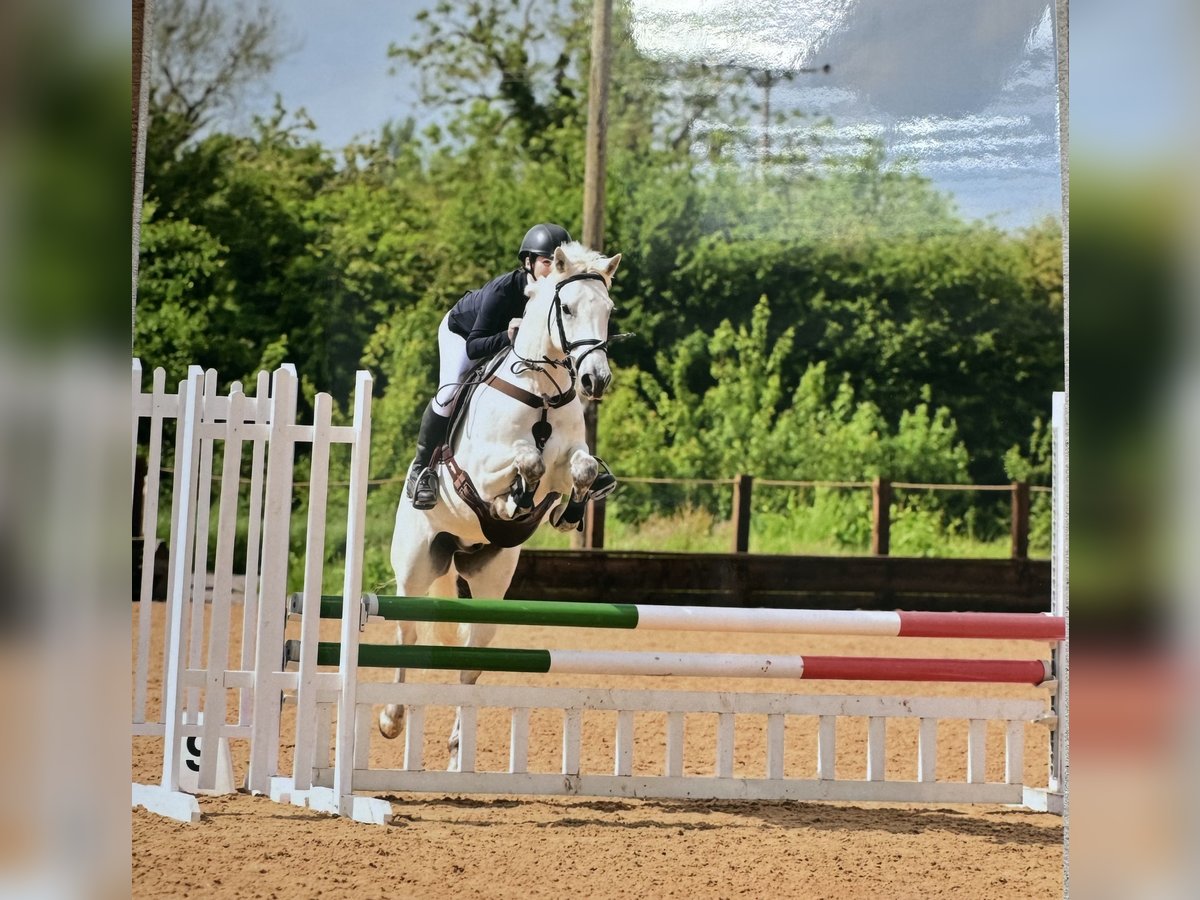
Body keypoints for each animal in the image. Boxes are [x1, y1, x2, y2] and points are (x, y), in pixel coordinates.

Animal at [379, 240, 624, 763]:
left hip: (490, 582)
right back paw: (392, 718)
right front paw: (514, 503)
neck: (541, 393)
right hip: (415, 568)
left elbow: (580, 470)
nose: (594, 381)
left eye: (609, 309)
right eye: (567, 309)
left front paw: (568, 512)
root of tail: (457, 549)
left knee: (472, 658)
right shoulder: (482, 466)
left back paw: (457, 745)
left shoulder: (568, 461)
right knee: (406, 632)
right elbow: (524, 463)